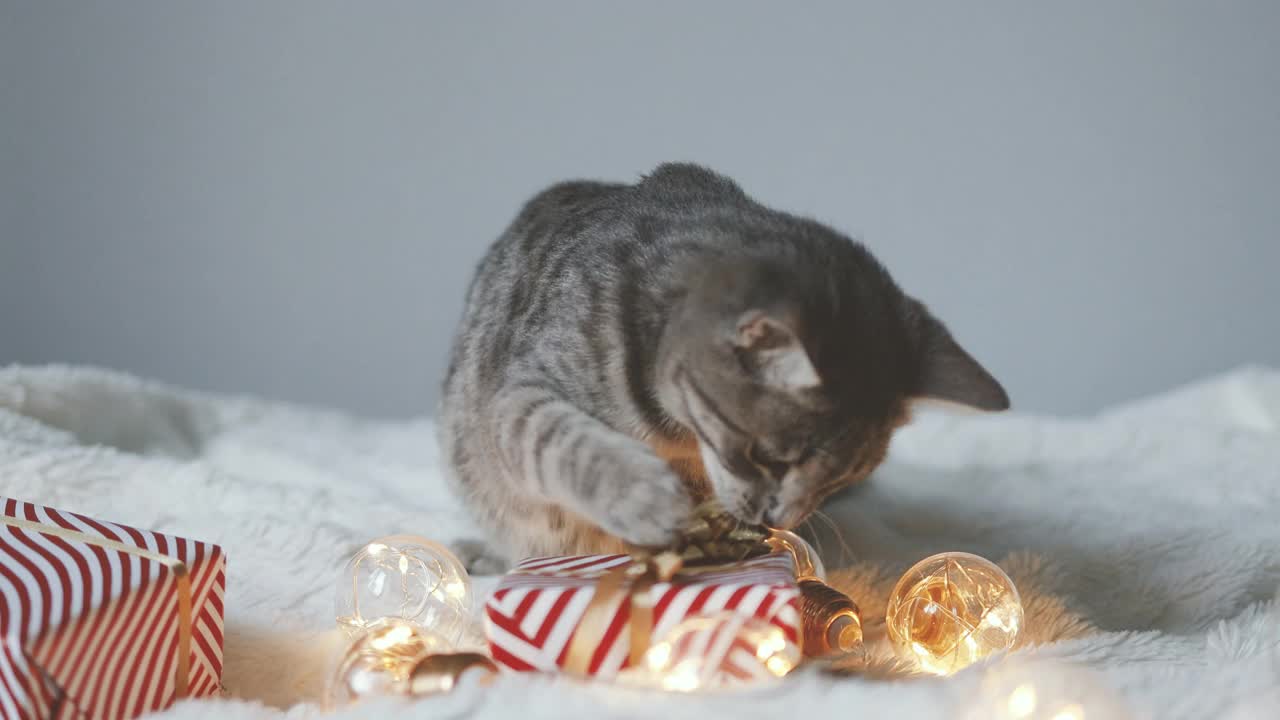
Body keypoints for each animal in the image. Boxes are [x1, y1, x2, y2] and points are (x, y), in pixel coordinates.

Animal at [442, 163, 1008, 571]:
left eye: (836, 481)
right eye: (768, 458)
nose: (778, 517)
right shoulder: (515, 395)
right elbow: (565, 442)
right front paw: (645, 496)